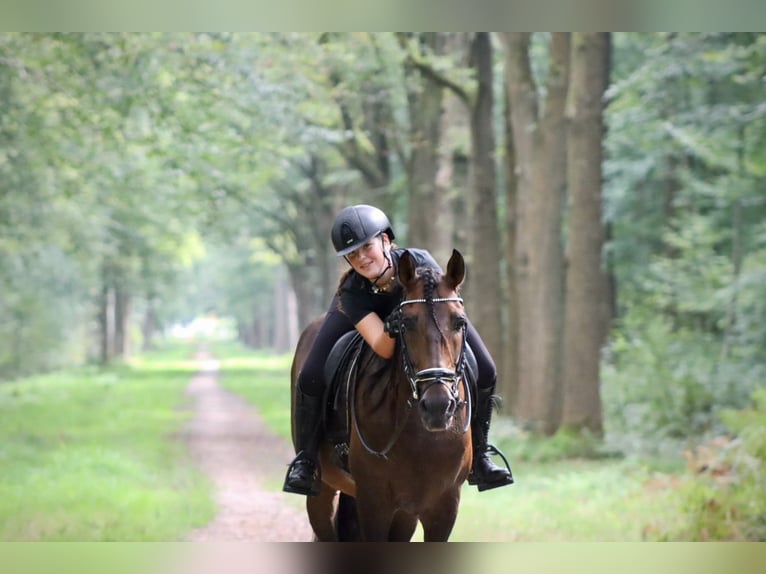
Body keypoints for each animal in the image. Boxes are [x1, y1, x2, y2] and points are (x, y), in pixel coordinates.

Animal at [290, 250, 474, 544]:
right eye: (406, 323)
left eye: (460, 322)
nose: (437, 407)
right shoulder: (374, 502)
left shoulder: (443, 507)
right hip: (323, 490)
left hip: (404, 514)